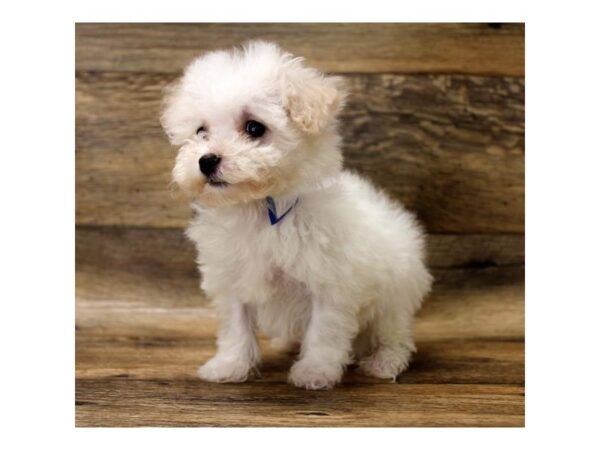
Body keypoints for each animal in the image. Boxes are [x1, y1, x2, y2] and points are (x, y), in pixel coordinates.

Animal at [159, 40, 432, 388]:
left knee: (394, 334)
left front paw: (315, 372)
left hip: (394, 295)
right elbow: (236, 326)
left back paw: (383, 363)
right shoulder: (232, 278)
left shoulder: (329, 283)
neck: (259, 209)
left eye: (254, 127)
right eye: (201, 131)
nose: (206, 160)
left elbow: (324, 332)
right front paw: (229, 366)